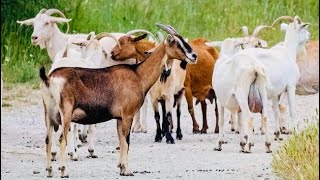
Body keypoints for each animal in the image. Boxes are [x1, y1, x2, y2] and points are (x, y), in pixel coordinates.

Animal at [38, 23, 196, 177]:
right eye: (176, 42)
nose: (194, 56)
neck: (138, 75)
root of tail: (50, 79)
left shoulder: (119, 118)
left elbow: (121, 140)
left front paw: (121, 167)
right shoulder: (128, 115)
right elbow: (126, 141)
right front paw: (127, 170)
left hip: (48, 113)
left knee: (48, 139)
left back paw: (49, 171)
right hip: (65, 112)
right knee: (61, 139)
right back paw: (64, 171)